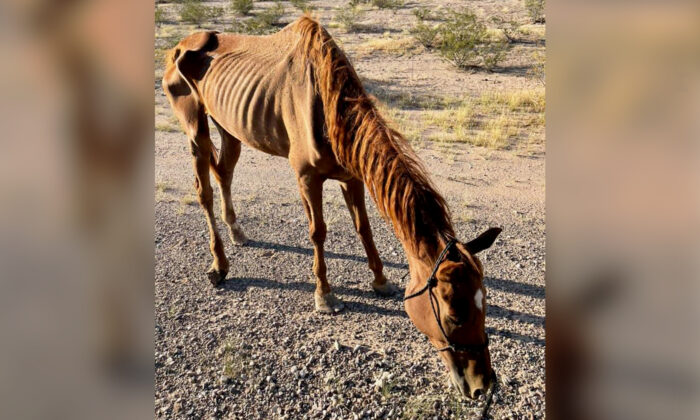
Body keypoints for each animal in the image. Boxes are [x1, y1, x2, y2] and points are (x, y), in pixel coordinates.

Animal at [163, 15, 504, 398]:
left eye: (484, 303)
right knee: (204, 191)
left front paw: (380, 280)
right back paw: (219, 265)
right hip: (195, 129)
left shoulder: (351, 177)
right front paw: (324, 295)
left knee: (224, 174)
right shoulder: (308, 178)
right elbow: (318, 232)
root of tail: (178, 46)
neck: (327, 107)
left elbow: (364, 229)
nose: (483, 385)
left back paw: (237, 232)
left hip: (230, 128)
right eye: (453, 315)